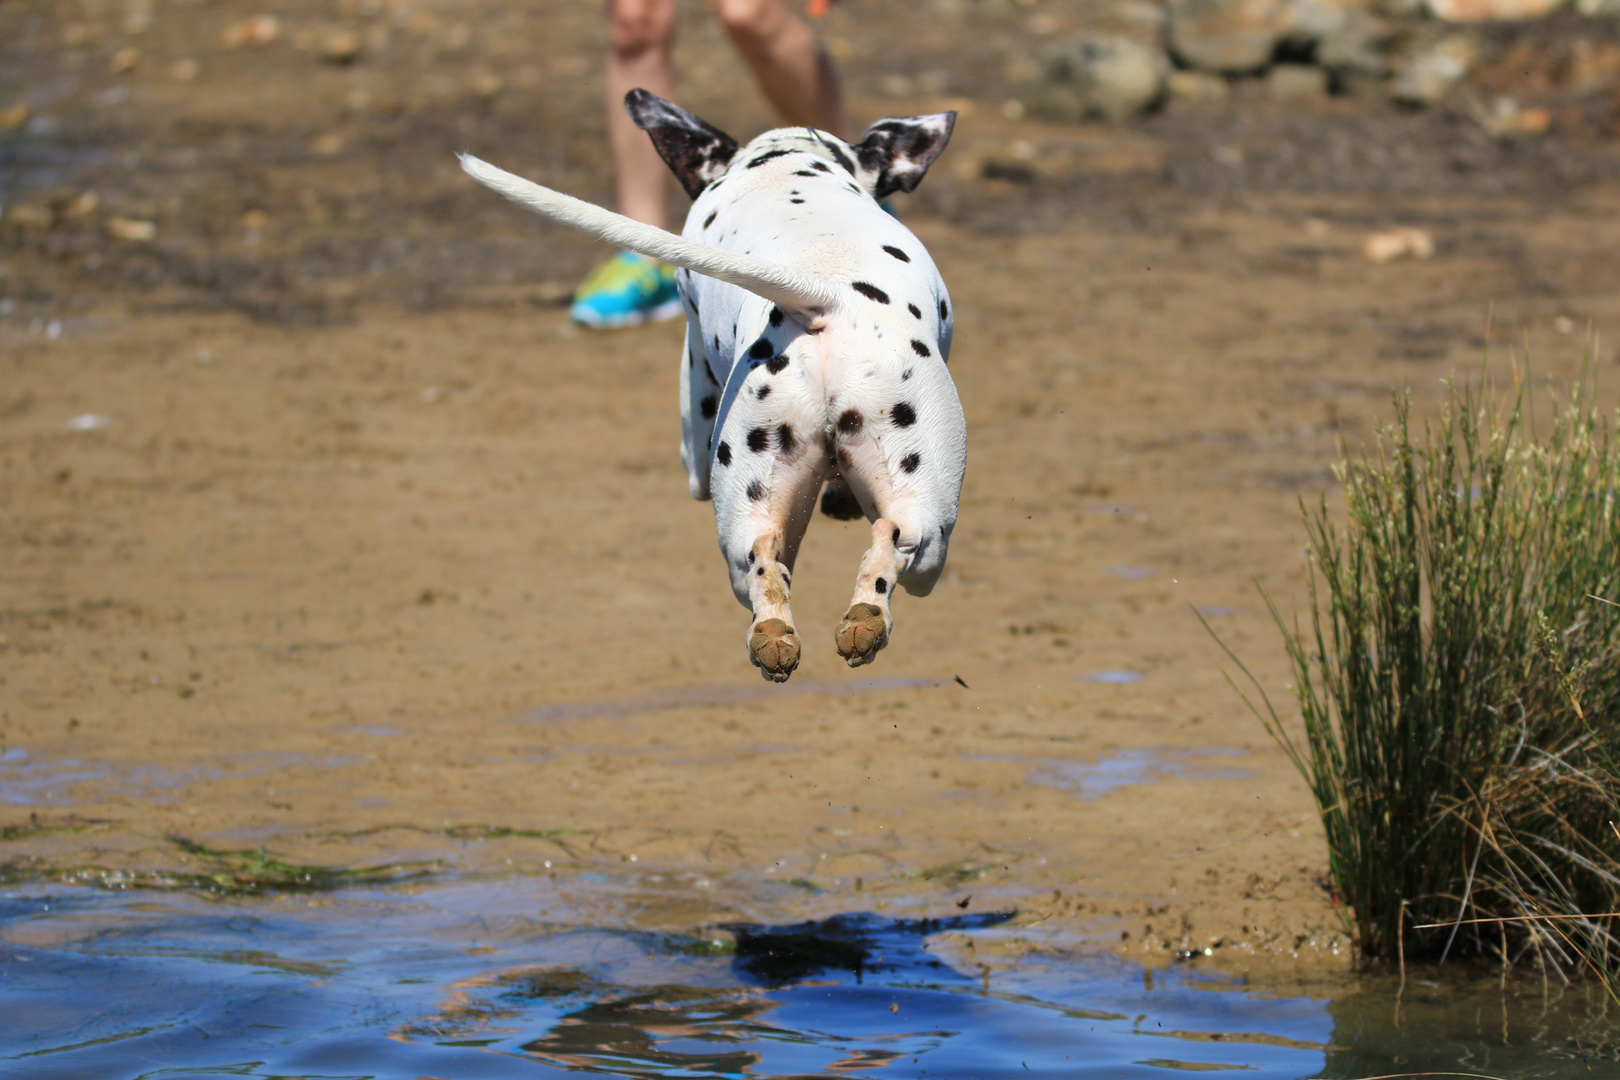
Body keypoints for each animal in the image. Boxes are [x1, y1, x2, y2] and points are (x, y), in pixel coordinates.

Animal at [460, 93, 959, 683]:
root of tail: (824, 295)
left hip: (762, 511)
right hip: (926, 537)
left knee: (774, 556)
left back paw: (797, 633)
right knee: (889, 541)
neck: (784, 168)